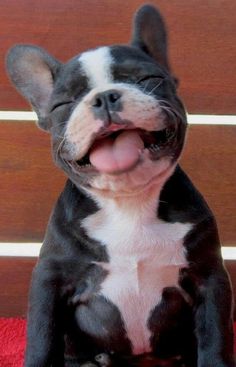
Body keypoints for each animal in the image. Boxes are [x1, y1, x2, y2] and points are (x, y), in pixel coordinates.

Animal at [5, 3, 234, 367]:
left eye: (148, 79)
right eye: (62, 105)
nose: (104, 98)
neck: (129, 203)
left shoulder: (209, 276)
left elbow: (215, 335)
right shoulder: (50, 279)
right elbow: (41, 336)